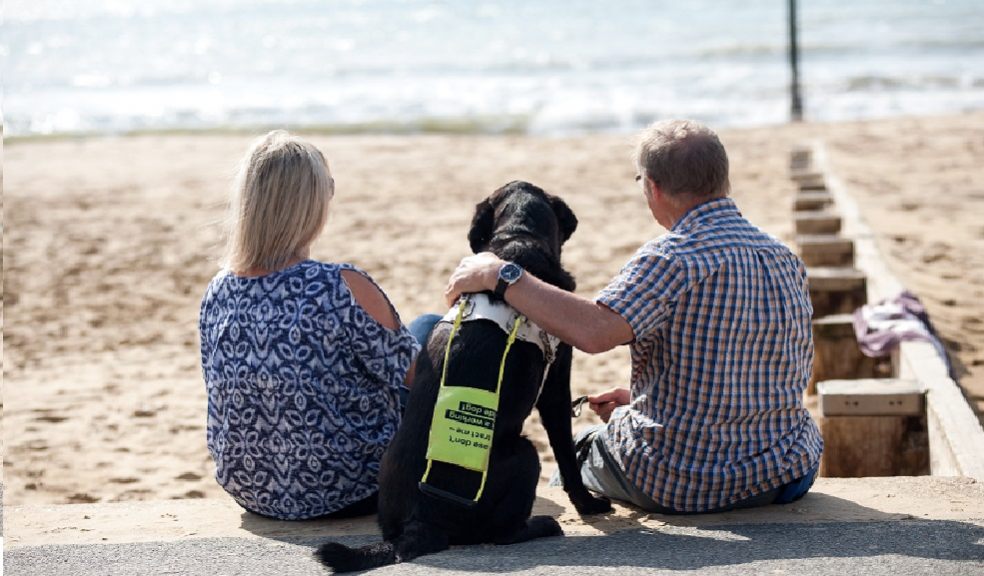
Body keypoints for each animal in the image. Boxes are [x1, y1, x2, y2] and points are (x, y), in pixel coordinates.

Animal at [316, 180, 612, 572]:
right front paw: (588, 504)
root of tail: (419, 521)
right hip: (525, 453)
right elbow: (565, 453)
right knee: (503, 533)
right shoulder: (555, 385)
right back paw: (542, 525)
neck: (519, 238)